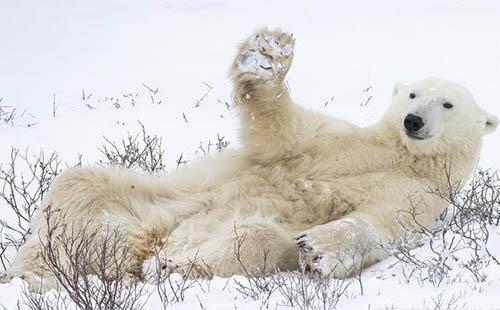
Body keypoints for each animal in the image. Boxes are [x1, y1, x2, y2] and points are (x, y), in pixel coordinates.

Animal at [0, 27, 496, 290]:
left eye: (447, 103)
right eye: (412, 94)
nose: (413, 121)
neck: (399, 155)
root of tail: (141, 245)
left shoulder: (422, 197)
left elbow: (380, 225)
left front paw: (318, 246)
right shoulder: (337, 144)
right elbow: (282, 132)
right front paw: (267, 54)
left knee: (255, 239)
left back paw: (167, 264)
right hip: (155, 198)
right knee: (78, 187)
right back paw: (41, 271)